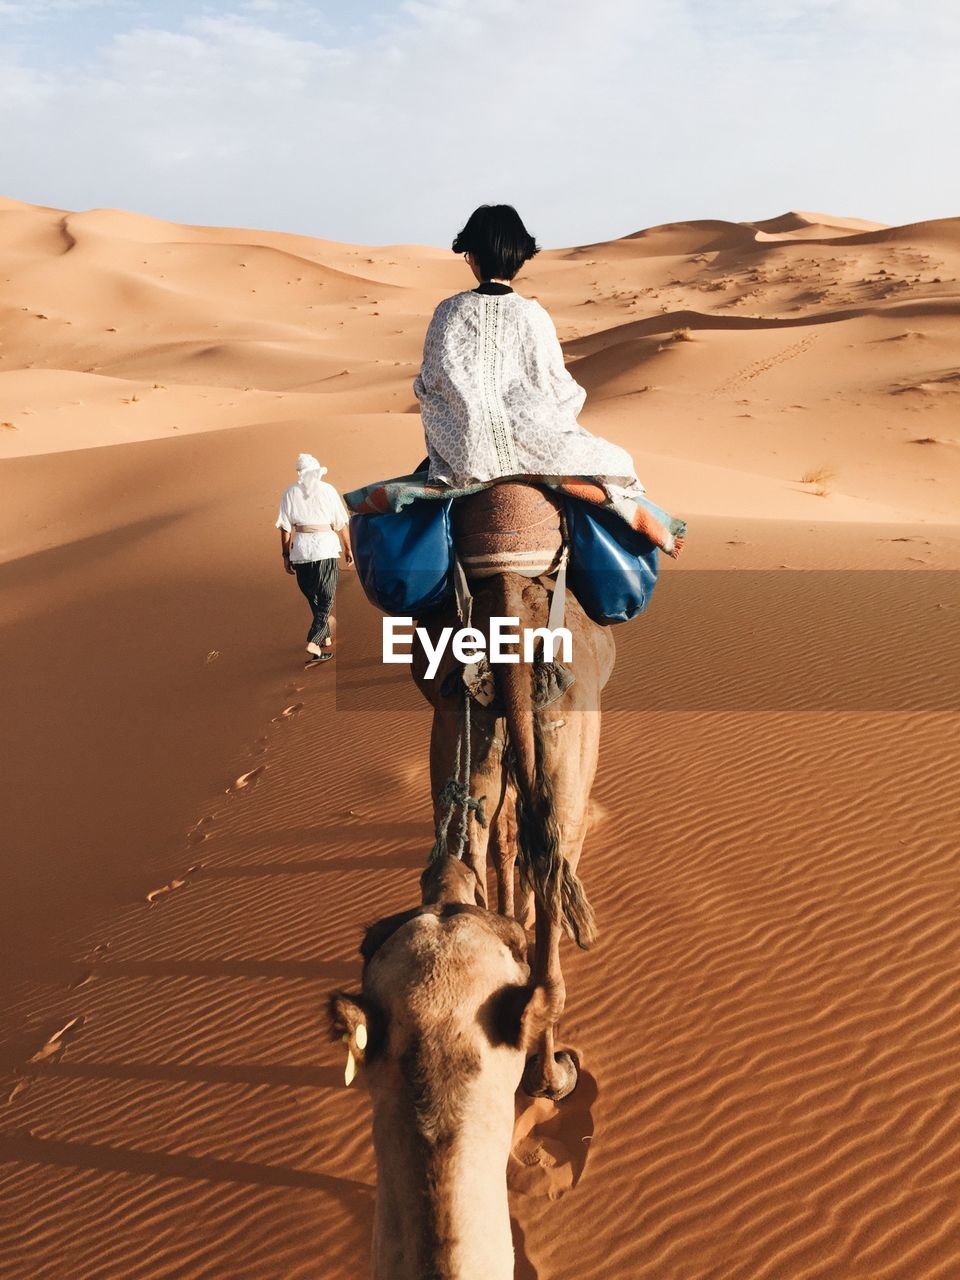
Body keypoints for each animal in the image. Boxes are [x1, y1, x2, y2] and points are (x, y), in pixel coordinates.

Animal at [412, 483, 616, 1105]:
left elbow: (505, 843)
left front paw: (509, 919)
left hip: (463, 723)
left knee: (461, 859)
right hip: (569, 739)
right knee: (553, 894)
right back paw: (551, 1079)